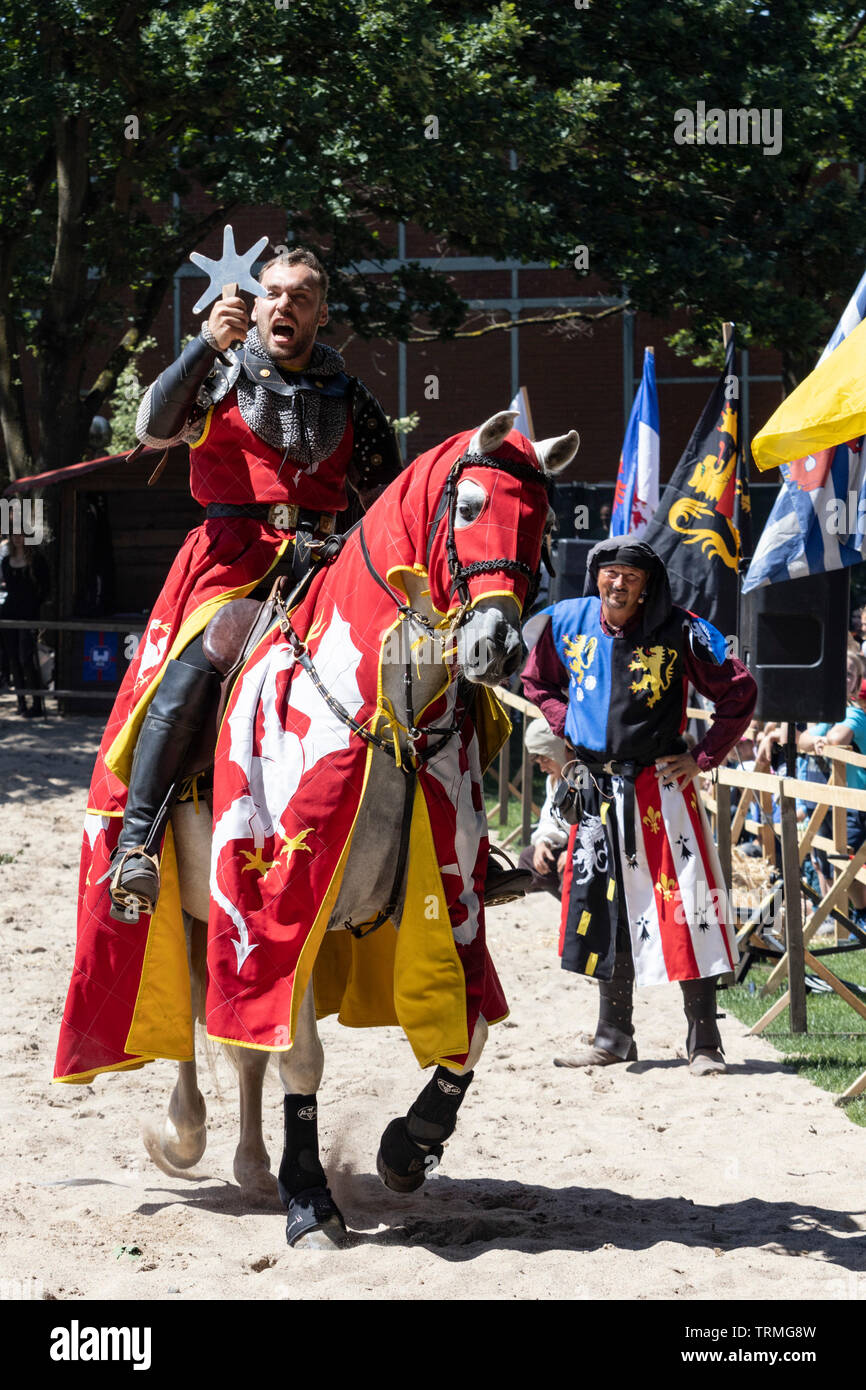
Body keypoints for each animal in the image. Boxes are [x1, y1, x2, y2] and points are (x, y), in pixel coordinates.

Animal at [147, 411, 583, 1251]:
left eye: (542, 521)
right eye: (471, 506)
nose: (500, 646)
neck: (382, 712)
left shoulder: (451, 904)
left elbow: (471, 1030)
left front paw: (409, 1145)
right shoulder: (284, 910)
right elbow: (302, 1058)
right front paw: (312, 1199)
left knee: (244, 1045)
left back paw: (254, 1166)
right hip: (192, 900)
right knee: (193, 1016)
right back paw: (184, 1137)